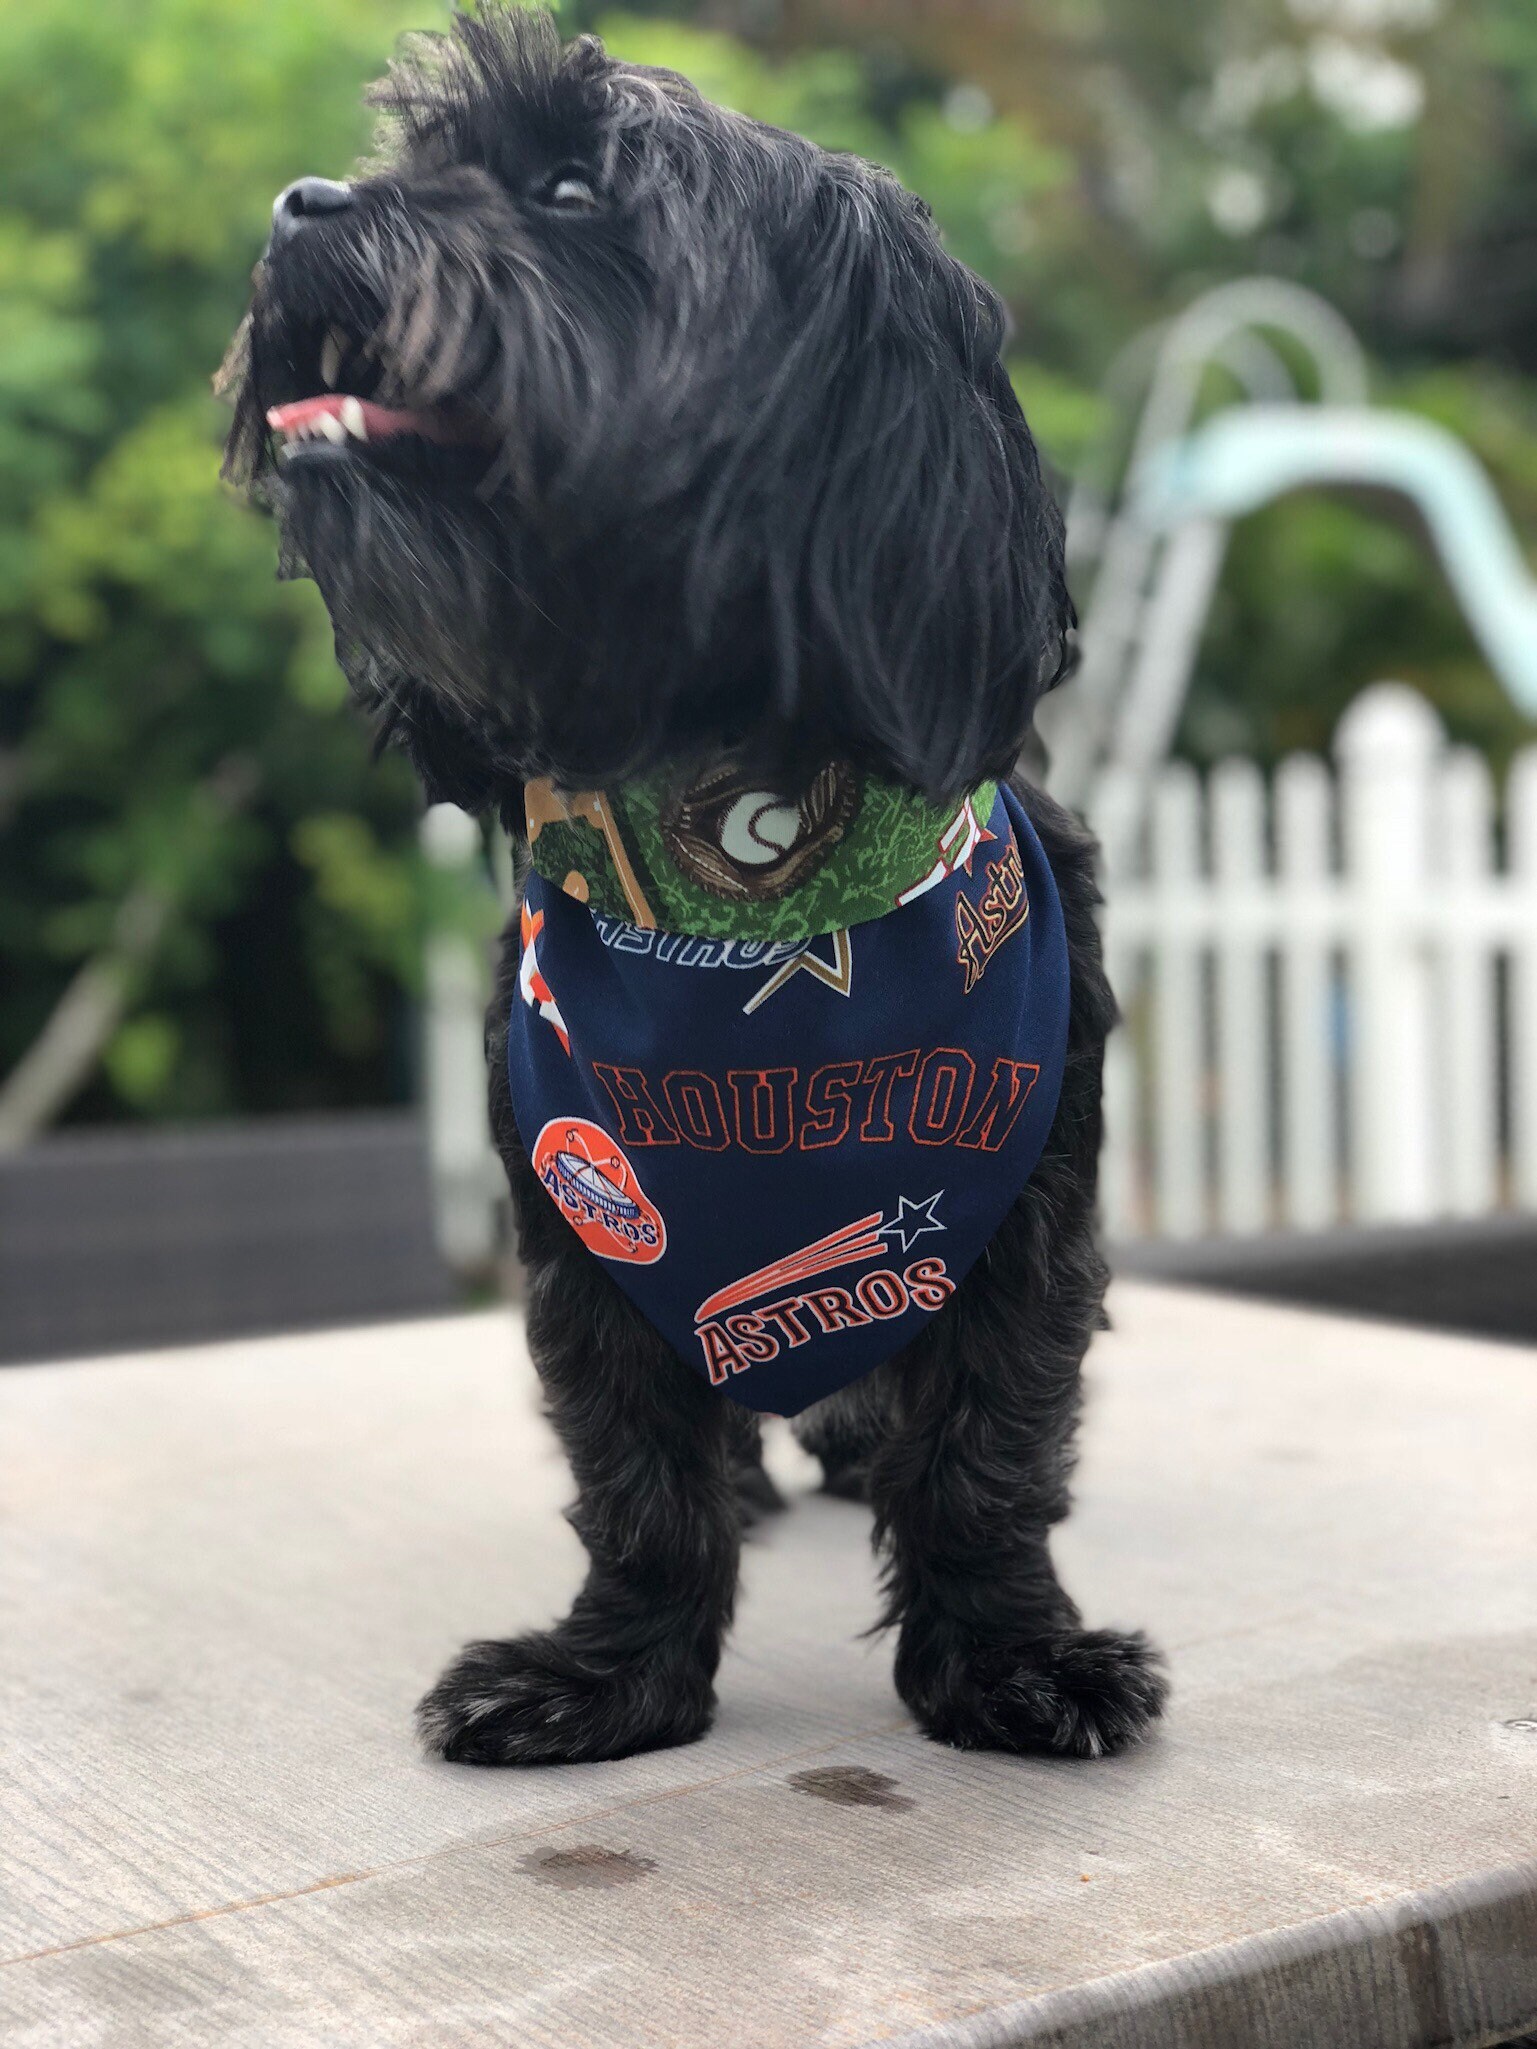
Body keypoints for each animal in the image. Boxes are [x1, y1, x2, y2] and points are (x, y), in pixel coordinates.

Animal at [222, 4, 1164, 1762]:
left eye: (570, 185)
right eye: (413, 159)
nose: (299, 205)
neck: (744, 885)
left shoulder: (1025, 1198)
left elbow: (990, 1444)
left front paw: (1005, 1655)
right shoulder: (589, 1209)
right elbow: (636, 1467)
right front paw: (614, 1676)